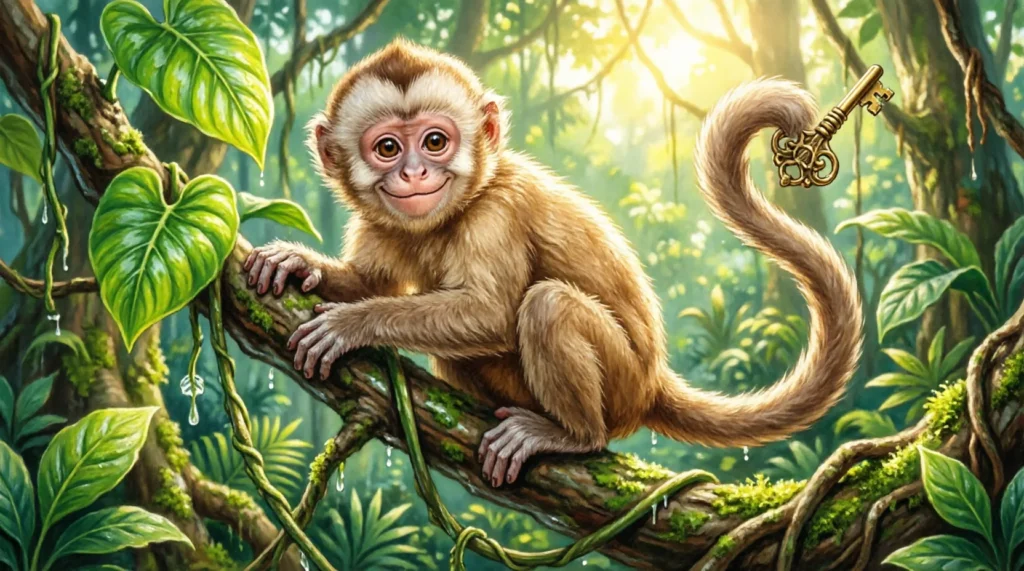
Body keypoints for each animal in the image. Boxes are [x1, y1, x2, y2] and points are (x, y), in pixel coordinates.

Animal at [242, 39, 862, 489]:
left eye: (436, 141)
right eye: (388, 148)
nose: (415, 174)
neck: (452, 212)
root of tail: (652, 382)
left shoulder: (498, 213)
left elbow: (492, 313)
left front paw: (352, 326)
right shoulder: (379, 220)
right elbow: (371, 281)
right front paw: (298, 265)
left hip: (622, 384)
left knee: (547, 307)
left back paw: (575, 436)